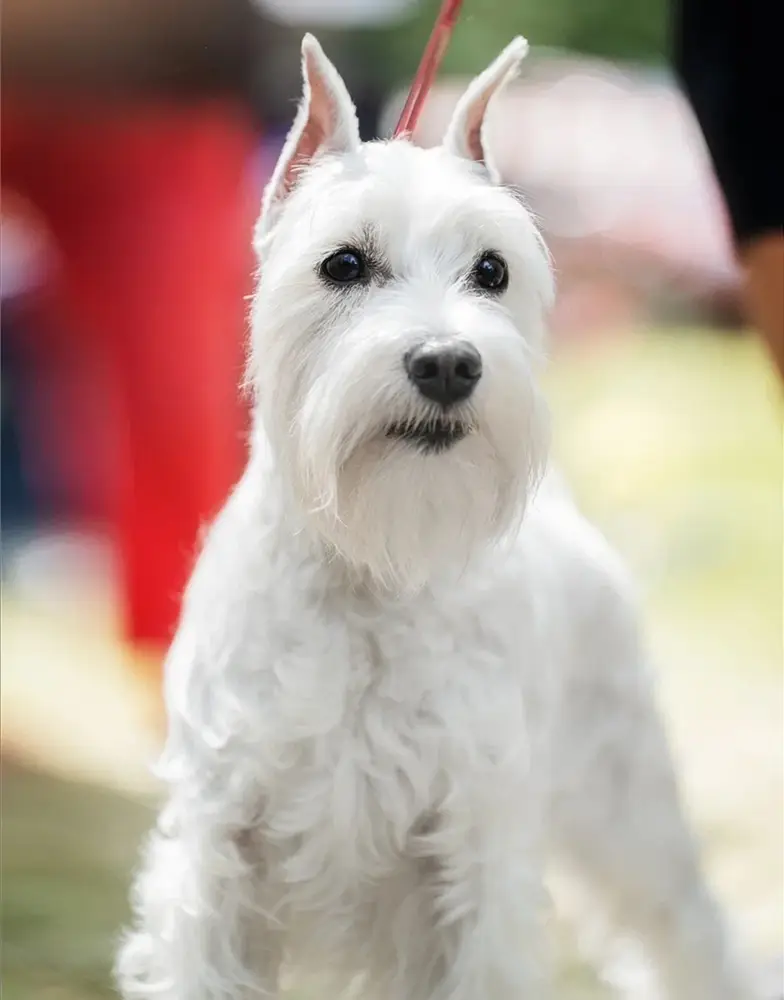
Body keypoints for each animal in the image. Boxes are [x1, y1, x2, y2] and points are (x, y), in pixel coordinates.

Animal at [116, 35, 760, 1000]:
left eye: (491, 270)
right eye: (344, 264)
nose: (450, 363)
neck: (369, 578)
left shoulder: (471, 854)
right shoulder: (220, 845)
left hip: (630, 805)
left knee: (687, 925)